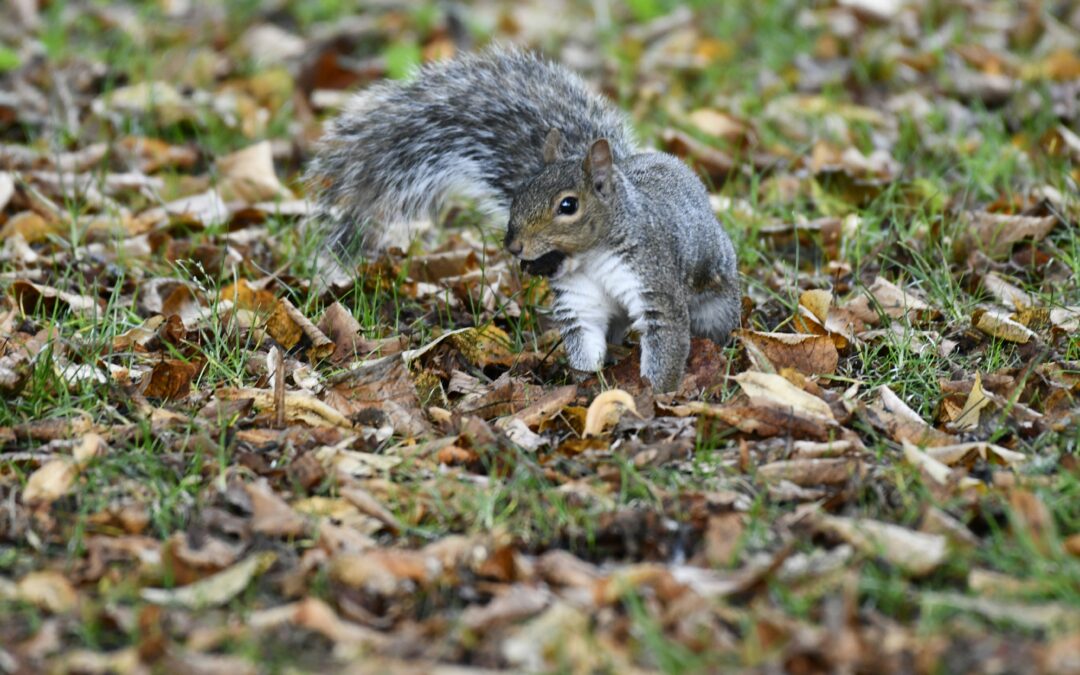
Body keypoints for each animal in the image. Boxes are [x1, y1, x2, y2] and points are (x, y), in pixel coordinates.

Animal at [307, 47, 741, 392]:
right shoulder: (580, 298)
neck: (593, 257)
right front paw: (586, 383)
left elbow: (665, 341)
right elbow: (585, 339)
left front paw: (656, 394)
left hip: (716, 291)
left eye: (568, 206)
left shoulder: (654, 280)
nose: (513, 245)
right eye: (519, 193)